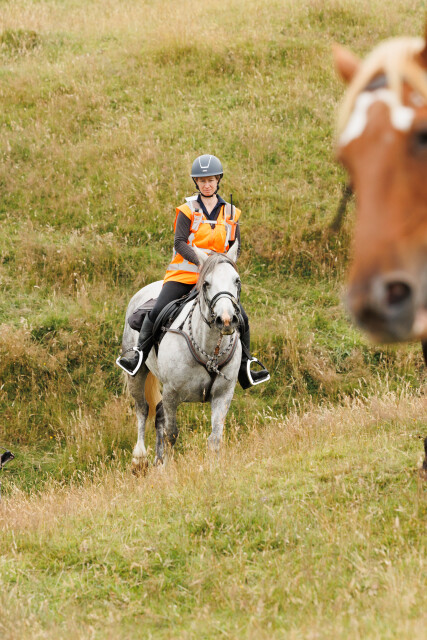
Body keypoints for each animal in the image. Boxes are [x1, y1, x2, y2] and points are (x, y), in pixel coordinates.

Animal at [120, 242, 242, 471]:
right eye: (206, 283)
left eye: (236, 280)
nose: (226, 320)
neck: (208, 350)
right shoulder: (171, 393)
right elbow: (171, 434)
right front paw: (167, 469)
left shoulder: (223, 395)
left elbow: (215, 438)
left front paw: (213, 469)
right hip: (137, 373)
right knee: (143, 409)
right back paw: (139, 459)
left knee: (157, 412)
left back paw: (156, 460)